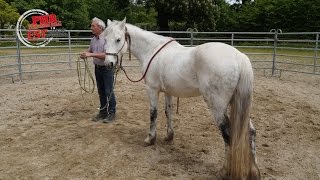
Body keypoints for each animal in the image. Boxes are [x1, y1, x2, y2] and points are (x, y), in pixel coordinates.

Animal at [102, 18, 260, 180]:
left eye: (118, 39)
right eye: (105, 39)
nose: (108, 63)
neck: (151, 50)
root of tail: (239, 57)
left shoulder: (152, 90)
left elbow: (153, 113)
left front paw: (150, 139)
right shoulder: (168, 91)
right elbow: (168, 112)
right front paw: (169, 136)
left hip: (218, 106)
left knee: (227, 135)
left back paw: (224, 171)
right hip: (238, 104)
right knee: (251, 132)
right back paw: (254, 171)